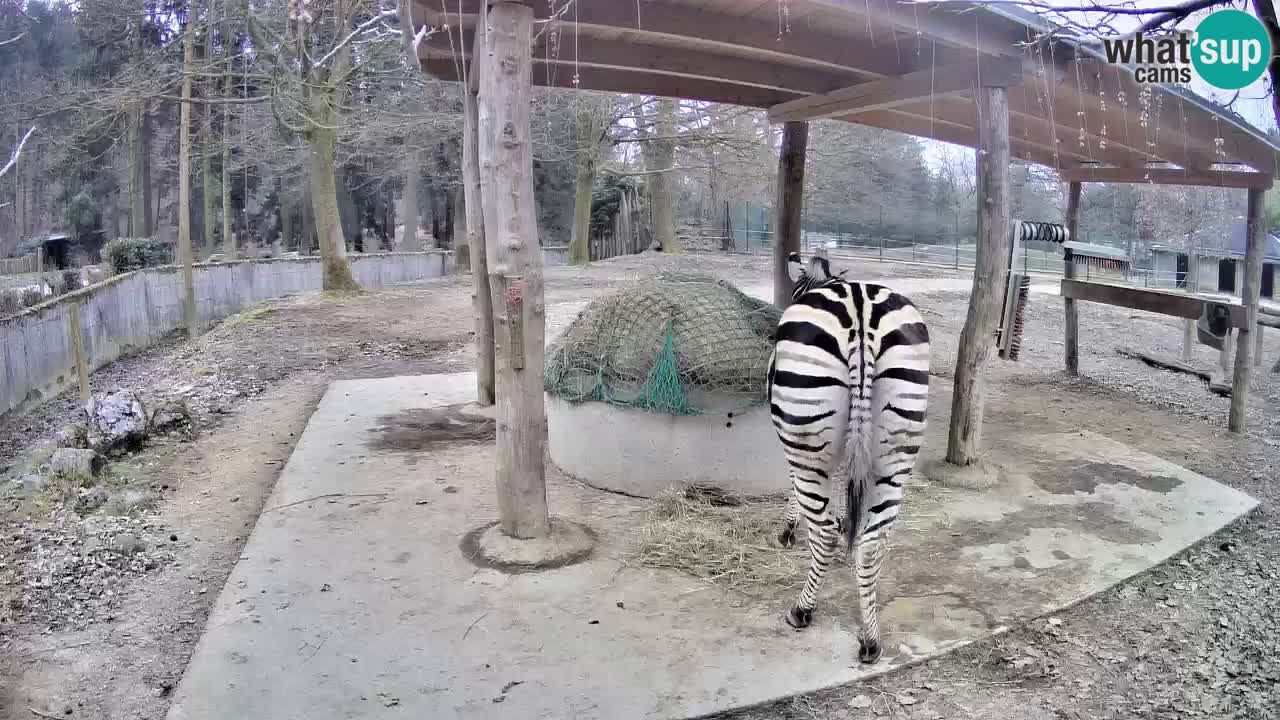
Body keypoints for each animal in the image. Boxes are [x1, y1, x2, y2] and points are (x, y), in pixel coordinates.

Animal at [757, 251, 931, 661]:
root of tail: (861, 310)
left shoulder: (795, 443)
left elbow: (800, 495)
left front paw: (791, 529)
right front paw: (841, 523)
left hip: (805, 436)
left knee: (822, 534)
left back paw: (802, 610)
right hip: (896, 449)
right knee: (871, 541)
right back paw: (870, 639)